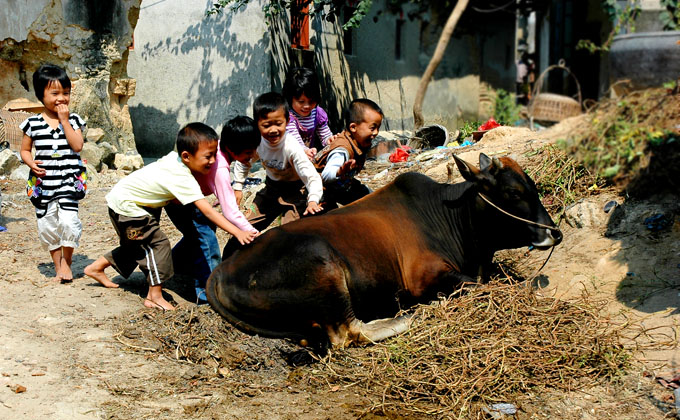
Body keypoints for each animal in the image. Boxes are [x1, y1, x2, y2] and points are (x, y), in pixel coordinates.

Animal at [206, 153, 564, 350]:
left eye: (532, 185)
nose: (554, 233)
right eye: (513, 192)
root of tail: (220, 271)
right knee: (349, 333)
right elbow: (482, 286)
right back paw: (408, 315)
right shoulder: (427, 277)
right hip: (323, 266)